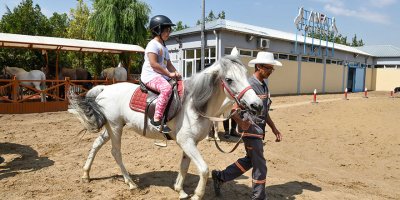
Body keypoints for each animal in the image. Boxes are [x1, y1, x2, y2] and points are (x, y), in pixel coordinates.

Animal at [69, 54, 262, 200]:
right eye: (229, 79)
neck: (194, 105)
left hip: (112, 127)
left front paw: (180, 190)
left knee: (96, 144)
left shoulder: (190, 143)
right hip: (116, 127)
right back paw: (130, 182)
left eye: (246, 75)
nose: (257, 105)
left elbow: (184, 166)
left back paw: (86, 174)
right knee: (115, 152)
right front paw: (196, 195)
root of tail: (104, 89)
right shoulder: (186, 141)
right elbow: (204, 169)